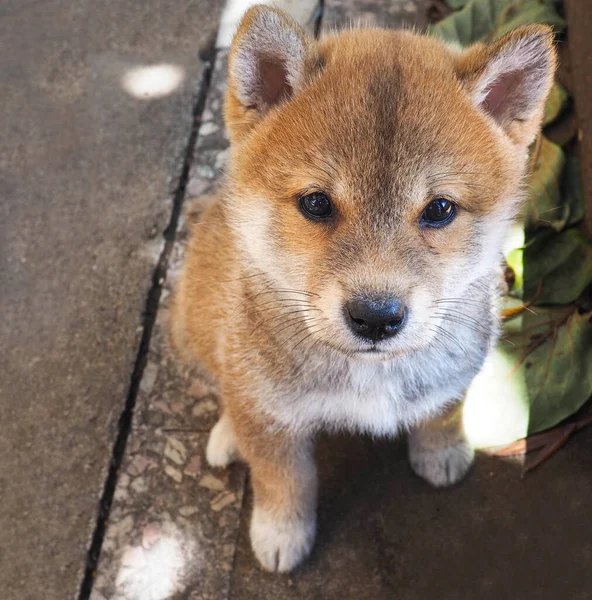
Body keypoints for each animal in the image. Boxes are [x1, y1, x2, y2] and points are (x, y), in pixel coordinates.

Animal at [170, 7, 556, 576]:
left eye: (440, 209)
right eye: (316, 203)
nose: (376, 317)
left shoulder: (456, 370)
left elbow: (445, 410)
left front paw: (440, 450)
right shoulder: (268, 411)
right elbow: (282, 477)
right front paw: (281, 531)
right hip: (193, 324)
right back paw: (226, 434)